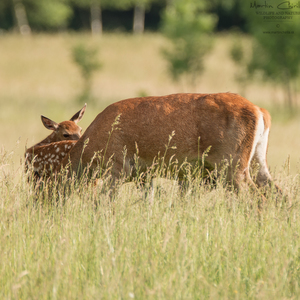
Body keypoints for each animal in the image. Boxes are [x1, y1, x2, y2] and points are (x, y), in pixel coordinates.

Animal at [55, 93, 278, 192]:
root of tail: (260, 111)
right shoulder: (143, 174)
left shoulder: (118, 166)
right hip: (257, 159)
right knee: (276, 192)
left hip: (231, 163)